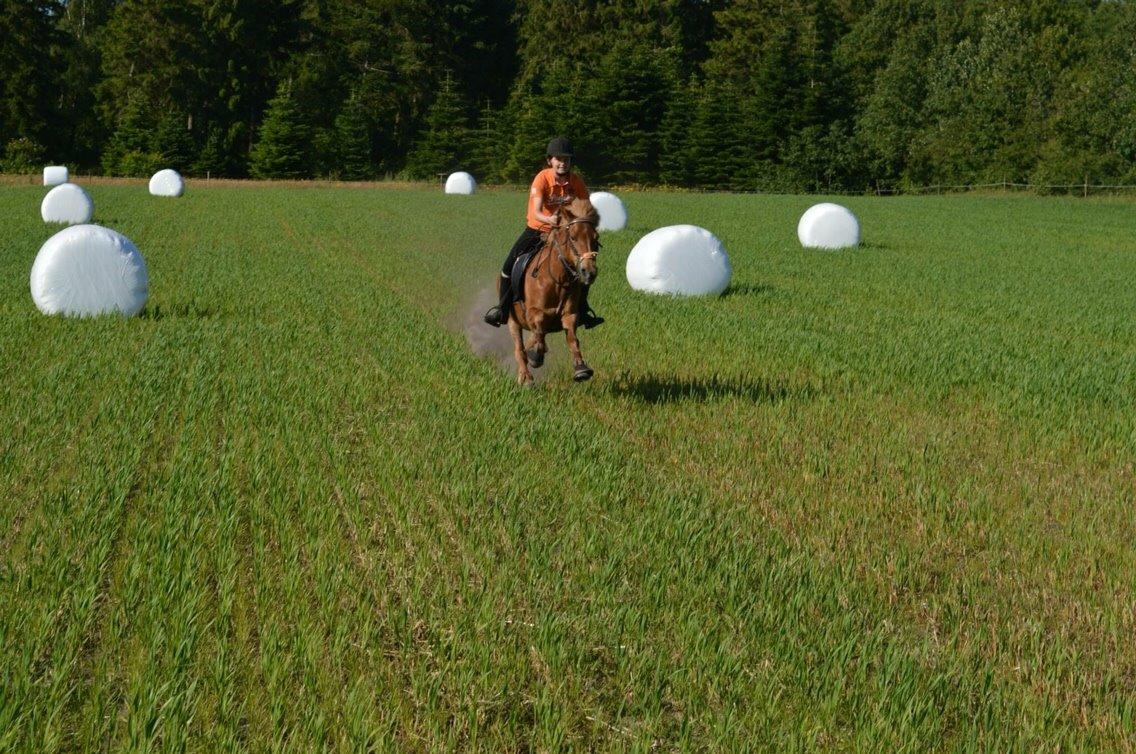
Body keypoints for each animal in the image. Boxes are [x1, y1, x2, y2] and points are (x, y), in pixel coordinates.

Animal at [506, 197, 599, 386]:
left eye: (596, 239)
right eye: (573, 237)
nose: (589, 271)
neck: (558, 278)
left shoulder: (570, 314)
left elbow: (572, 339)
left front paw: (581, 369)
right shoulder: (534, 312)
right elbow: (539, 329)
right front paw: (535, 356)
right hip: (513, 320)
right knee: (519, 348)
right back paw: (525, 377)